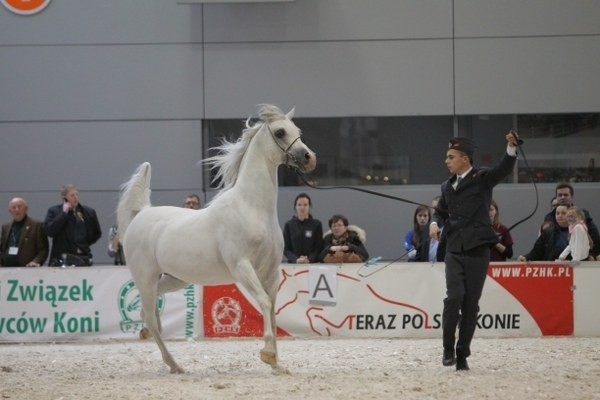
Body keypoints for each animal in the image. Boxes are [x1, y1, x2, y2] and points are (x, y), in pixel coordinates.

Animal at [116, 104, 314, 374]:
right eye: (280, 132)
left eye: (299, 130)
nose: (308, 157)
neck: (251, 208)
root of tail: (143, 212)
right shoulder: (242, 267)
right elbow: (263, 303)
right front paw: (268, 355)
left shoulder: (271, 272)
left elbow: (272, 313)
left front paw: (277, 364)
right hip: (145, 276)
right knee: (150, 316)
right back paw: (174, 364)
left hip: (174, 278)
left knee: (153, 307)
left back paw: (150, 336)